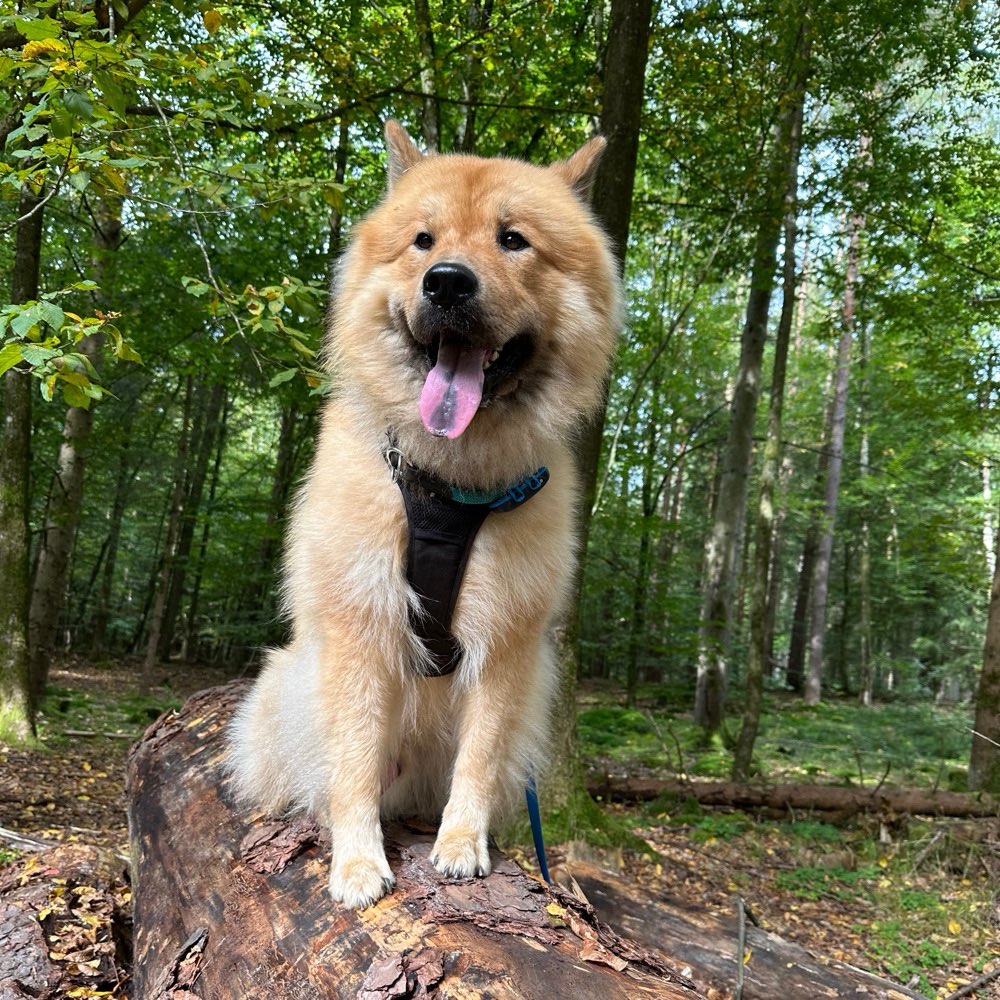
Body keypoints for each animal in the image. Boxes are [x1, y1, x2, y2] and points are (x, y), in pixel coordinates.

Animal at [228, 117, 620, 908]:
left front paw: (463, 844)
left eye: (512, 239)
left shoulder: (507, 645)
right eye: (423, 241)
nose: (447, 281)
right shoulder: (360, 627)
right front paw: (356, 863)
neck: (451, 484)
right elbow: (351, 762)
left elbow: (479, 757)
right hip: (288, 685)